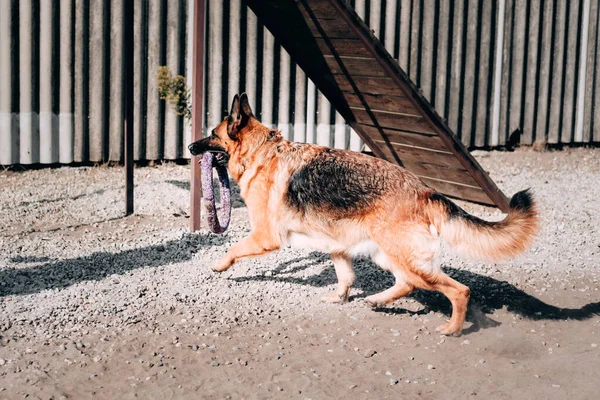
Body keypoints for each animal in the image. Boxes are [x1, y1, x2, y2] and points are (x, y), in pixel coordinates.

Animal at [189, 94, 540, 334]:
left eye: (213, 134)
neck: (261, 152)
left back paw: (452, 329)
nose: (191, 148)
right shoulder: (338, 245)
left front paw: (219, 265)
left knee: (457, 289)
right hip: (387, 255)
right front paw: (339, 298)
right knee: (408, 283)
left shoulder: (265, 237)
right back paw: (378, 300)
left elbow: (233, 248)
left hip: (404, 257)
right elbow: (345, 276)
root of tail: (425, 192)